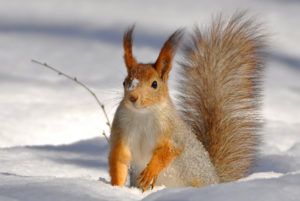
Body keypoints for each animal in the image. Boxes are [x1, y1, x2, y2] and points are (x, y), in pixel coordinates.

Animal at [108, 11, 264, 191]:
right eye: (125, 82)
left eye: (155, 84)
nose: (133, 97)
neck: (143, 115)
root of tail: (216, 179)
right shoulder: (121, 130)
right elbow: (119, 159)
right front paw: (115, 187)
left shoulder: (173, 133)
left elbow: (169, 151)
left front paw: (150, 172)